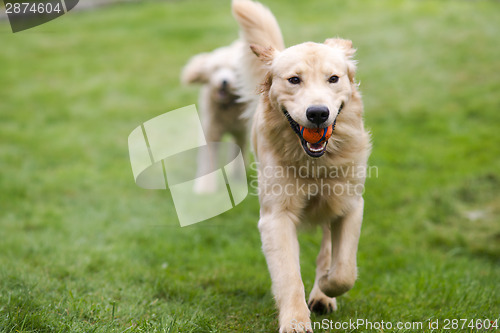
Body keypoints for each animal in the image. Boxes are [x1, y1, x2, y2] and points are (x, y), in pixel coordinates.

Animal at [182, 40, 248, 192]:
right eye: (216, 68)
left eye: (234, 70)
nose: (224, 82)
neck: (227, 106)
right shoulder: (210, 131)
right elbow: (208, 159)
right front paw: (205, 188)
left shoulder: (241, 131)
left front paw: (238, 177)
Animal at [231, 1, 372, 330]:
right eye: (294, 80)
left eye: (333, 79)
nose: (318, 113)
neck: (315, 163)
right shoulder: (276, 217)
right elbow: (289, 276)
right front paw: (295, 321)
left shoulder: (350, 205)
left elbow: (344, 270)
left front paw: (326, 286)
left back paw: (322, 293)